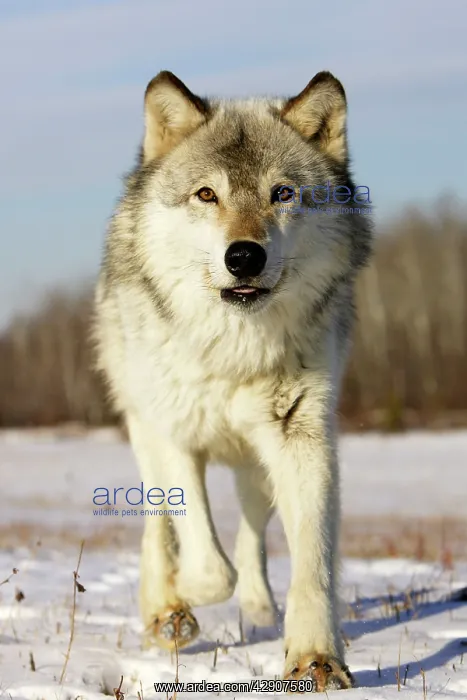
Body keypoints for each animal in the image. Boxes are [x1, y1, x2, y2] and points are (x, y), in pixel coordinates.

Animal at [93, 69, 372, 691]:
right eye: (206, 195)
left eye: (282, 194)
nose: (244, 256)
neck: (233, 353)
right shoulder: (176, 435)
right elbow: (204, 561)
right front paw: (176, 602)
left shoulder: (302, 438)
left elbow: (310, 561)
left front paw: (315, 658)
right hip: (143, 425)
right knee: (159, 524)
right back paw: (163, 604)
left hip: (255, 468)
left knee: (252, 537)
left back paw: (259, 609)